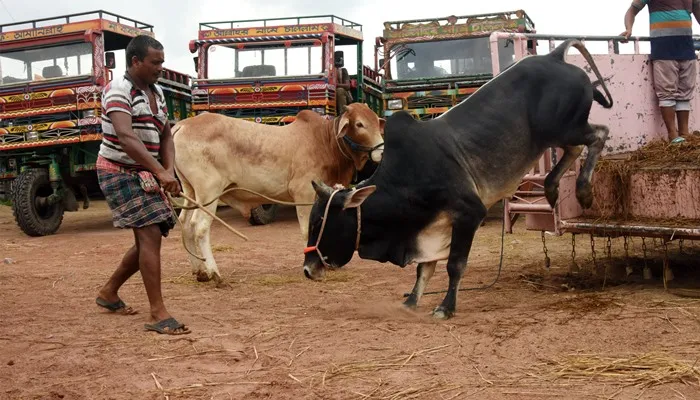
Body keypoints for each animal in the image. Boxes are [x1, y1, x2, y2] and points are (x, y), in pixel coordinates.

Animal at [173, 103, 385, 283]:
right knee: (199, 227)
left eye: (377, 121)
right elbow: (307, 229)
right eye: (359, 124)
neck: (325, 141)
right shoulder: (303, 193)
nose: (382, 152)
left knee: (185, 224)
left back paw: (199, 271)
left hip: (190, 192)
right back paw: (214, 272)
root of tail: (181, 125)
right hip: (209, 193)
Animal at [301, 39, 614, 320]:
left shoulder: (469, 213)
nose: (307, 269)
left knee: (599, 134)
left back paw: (583, 191)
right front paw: (411, 302)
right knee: (576, 148)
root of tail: (555, 56)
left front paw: (445, 307)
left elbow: (455, 265)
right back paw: (550, 189)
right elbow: (424, 269)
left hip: (565, 127)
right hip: (559, 132)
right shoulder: (430, 229)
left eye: (319, 222)